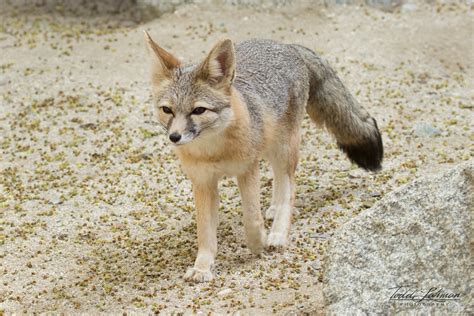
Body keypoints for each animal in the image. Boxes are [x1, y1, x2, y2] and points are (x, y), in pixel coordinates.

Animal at [143, 32, 382, 282]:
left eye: (198, 110)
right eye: (167, 110)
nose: (174, 137)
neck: (214, 151)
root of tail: (285, 45)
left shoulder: (247, 170)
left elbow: (251, 217)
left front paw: (258, 243)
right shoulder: (203, 183)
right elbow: (205, 233)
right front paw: (202, 267)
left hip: (284, 148)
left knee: (289, 185)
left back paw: (278, 233)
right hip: (270, 147)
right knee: (278, 178)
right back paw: (275, 210)